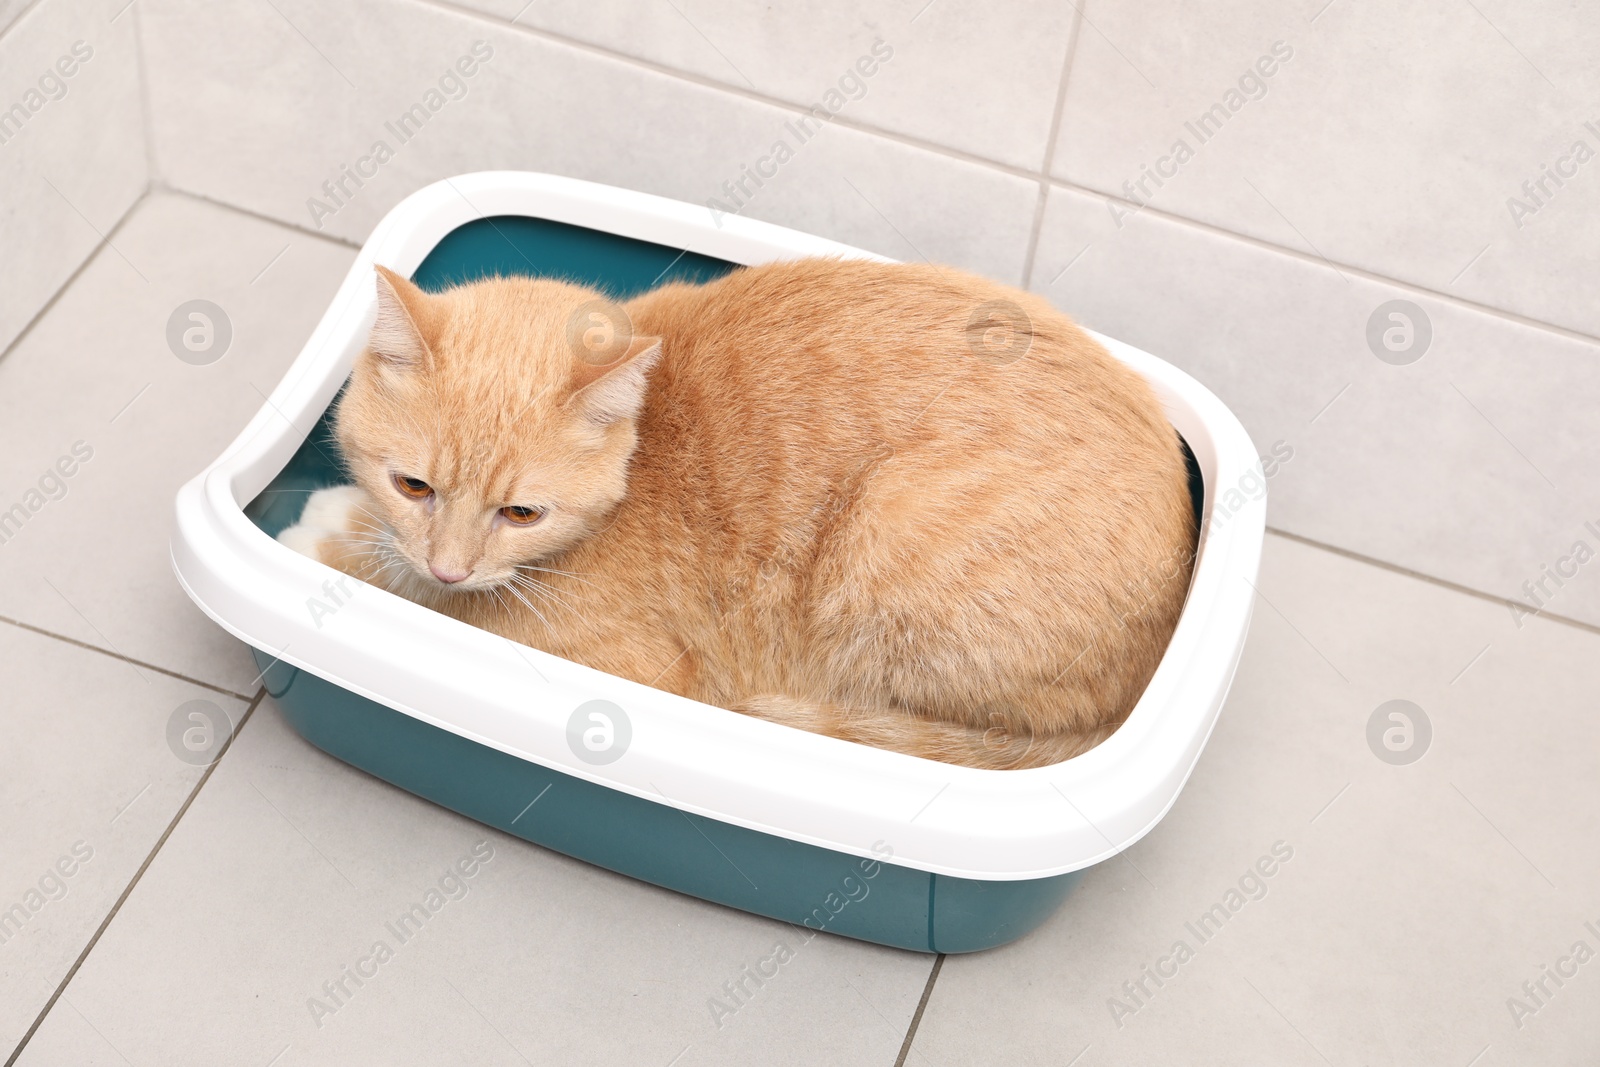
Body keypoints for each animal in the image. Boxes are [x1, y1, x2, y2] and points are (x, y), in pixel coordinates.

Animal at [281, 262, 1196, 771]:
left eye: (521, 510)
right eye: (413, 486)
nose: (450, 561)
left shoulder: (620, 657)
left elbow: (448, 606)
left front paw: (332, 537)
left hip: (888, 533)